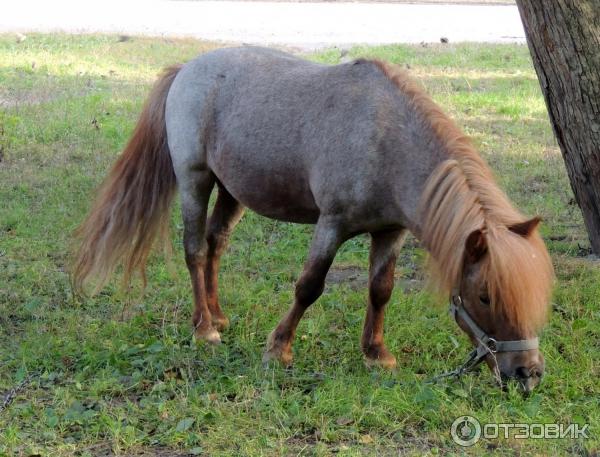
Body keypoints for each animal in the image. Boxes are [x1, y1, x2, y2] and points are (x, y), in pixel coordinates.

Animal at [72, 46, 556, 390]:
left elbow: (381, 290)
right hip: (195, 180)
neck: (384, 140)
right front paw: (278, 349)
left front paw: (376, 353)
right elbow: (309, 286)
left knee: (215, 245)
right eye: (485, 296)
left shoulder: (390, 232)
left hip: (232, 191)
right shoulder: (332, 224)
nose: (527, 374)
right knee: (193, 249)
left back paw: (219, 315)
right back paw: (205, 329)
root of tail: (187, 68)